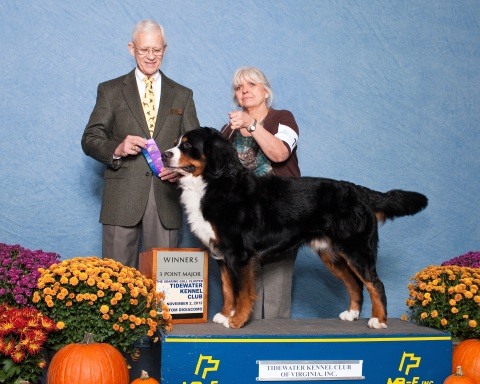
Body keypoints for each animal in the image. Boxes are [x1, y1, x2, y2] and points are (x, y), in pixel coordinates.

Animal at [161, 127, 428, 328]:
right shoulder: (223, 254)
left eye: (187, 145)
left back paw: (379, 321)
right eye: (176, 143)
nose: (164, 154)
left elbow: (242, 292)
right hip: (332, 254)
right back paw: (351, 314)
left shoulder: (239, 253)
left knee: (375, 283)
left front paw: (236, 321)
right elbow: (228, 289)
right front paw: (225, 314)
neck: (214, 183)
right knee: (356, 284)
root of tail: (358, 190)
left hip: (357, 249)